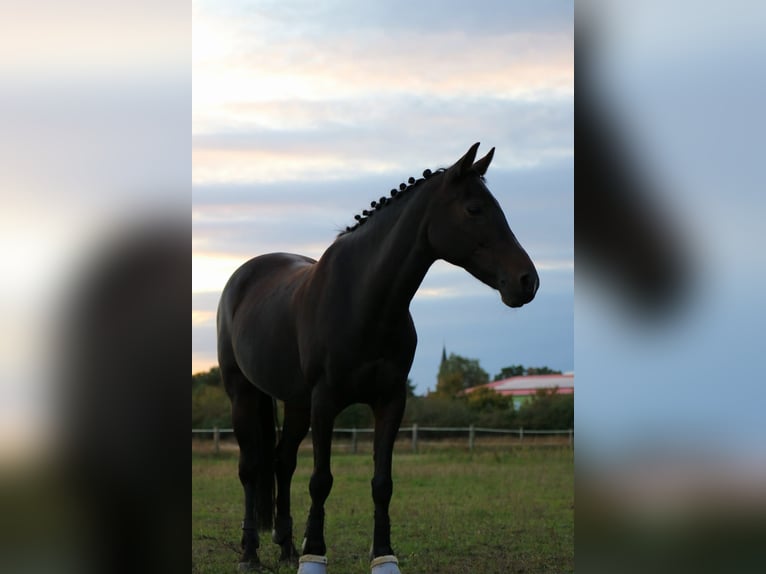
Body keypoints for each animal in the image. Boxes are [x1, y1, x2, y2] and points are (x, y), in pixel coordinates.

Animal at [216, 143, 540, 572]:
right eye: (474, 209)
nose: (527, 281)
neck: (363, 299)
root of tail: (242, 276)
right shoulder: (325, 402)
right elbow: (321, 480)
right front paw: (314, 554)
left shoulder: (390, 400)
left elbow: (382, 483)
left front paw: (384, 555)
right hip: (244, 395)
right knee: (252, 469)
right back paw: (250, 553)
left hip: (295, 403)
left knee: (283, 462)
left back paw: (285, 547)